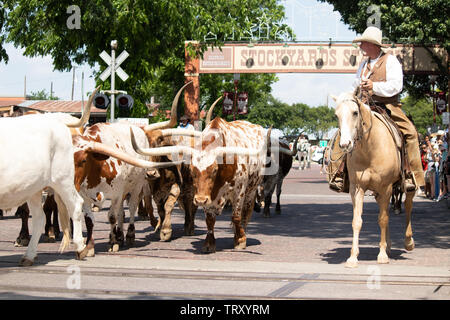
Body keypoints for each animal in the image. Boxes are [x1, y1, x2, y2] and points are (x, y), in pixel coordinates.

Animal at [330, 92, 414, 268]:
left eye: (355, 112)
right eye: (336, 115)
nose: (345, 144)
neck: (370, 149)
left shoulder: (386, 187)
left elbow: (382, 219)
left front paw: (381, 255)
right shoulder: (357, 188)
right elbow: (357, 221)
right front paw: (353, 257)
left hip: (408, 183)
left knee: (408, 206)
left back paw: (408, 242)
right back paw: (389, 245)